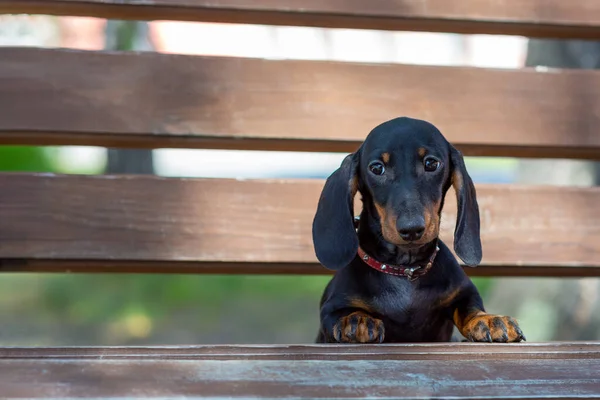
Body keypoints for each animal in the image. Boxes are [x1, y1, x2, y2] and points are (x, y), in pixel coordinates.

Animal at [314, 116, 524, 344]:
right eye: (376, 168)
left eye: (431, 163)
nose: (412, 229)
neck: (405, 270)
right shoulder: (332, 307)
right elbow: (340, 313)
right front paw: (356, 320)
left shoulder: (464, 294)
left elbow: (470, 307)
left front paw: (487, 319)